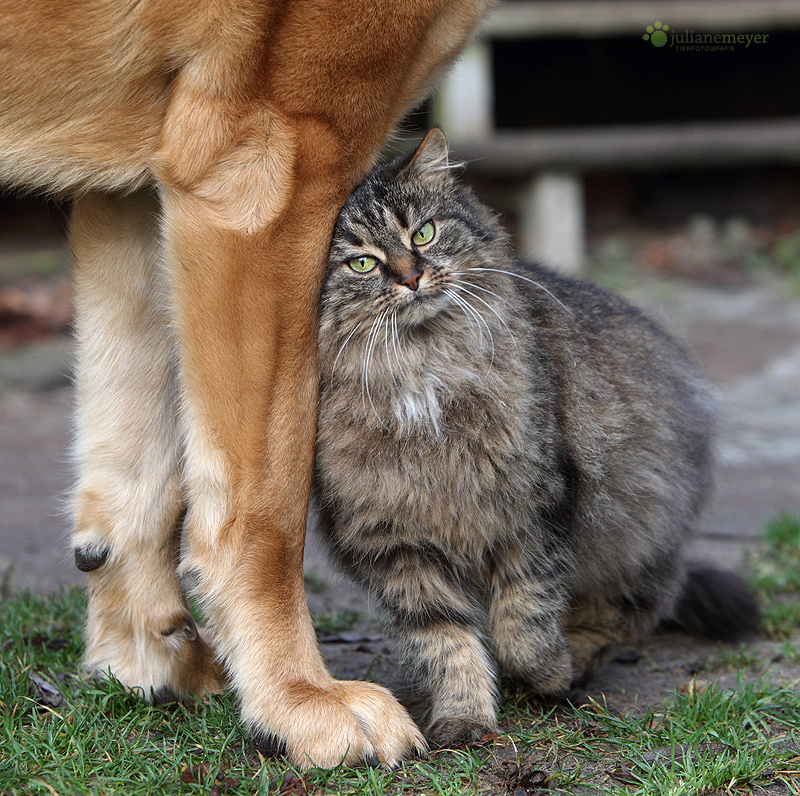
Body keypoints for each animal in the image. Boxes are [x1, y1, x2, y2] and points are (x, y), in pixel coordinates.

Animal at [0, 0, 488, 772]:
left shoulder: (137, 185)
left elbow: (139, 470)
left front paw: (143, 659)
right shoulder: (267, 170)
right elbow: (264, 507)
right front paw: (297, 698)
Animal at [310, 129, 756, 748]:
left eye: (422, 233)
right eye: (362, 263)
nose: (411, 277)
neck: (421, 375)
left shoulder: (533, 510)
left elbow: (524, 627)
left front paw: (549, 674)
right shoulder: (394, 544)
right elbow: (446, 642)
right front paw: (465, 717)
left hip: (639, 534)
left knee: (622, 616)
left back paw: (579, 663)